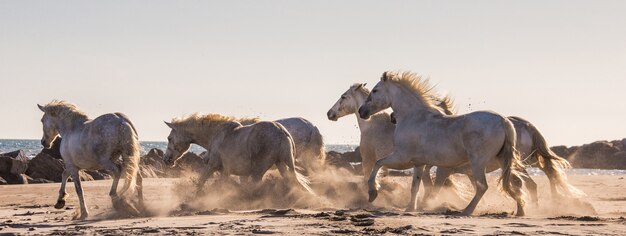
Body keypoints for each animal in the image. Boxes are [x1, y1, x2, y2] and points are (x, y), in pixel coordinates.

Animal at [163, 113, 314, 195]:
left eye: (169, 138)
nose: (166, 160)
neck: (216, 134)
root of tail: (283, 133)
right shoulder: (235, 173)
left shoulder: (213, 167)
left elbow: (202, 182)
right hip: (281, 164)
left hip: (259, 171)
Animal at [356, 71, 528, 216]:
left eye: (375, 90)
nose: (361, 111)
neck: (413, 117)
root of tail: (503, 120)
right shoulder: (418, 163)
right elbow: (415, 187)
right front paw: (410, 208)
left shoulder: (402, 157)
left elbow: (378, 164)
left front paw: (372, 193)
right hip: (501, 161)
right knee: (512, 184)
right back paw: (520, 210)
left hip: (478, 162)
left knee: (483, 187)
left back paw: (466, 211)